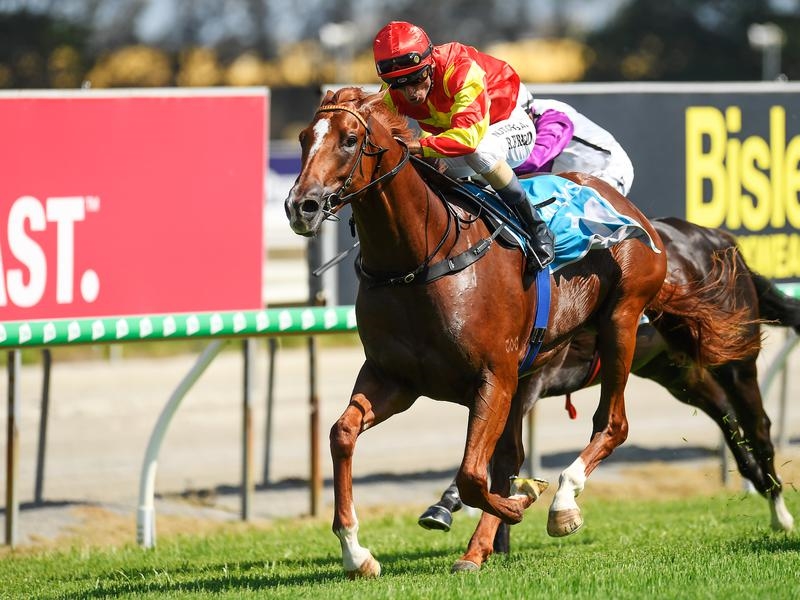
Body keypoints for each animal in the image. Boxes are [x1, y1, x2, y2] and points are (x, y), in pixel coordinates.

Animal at [284, 87, 752, 577]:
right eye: (303, 138)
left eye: (350, 139)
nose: (302, 206)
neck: (420, 261)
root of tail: (628, 208)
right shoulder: (394, 378)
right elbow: (343, 434)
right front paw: (356, 553)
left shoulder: (495, 375)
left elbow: (474, 474)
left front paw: (522, 500)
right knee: (512, 454)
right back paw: (481, 545)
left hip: (621, 319)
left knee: (613, 424)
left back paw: (560, 503)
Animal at [420, 216, 800, 549]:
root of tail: (717, 236)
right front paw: (467, 517)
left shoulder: (523, 383)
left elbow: (499, 453)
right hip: (674, 370)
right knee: (726, 416)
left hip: (734, 357)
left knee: (758, 427)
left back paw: (779, 513)